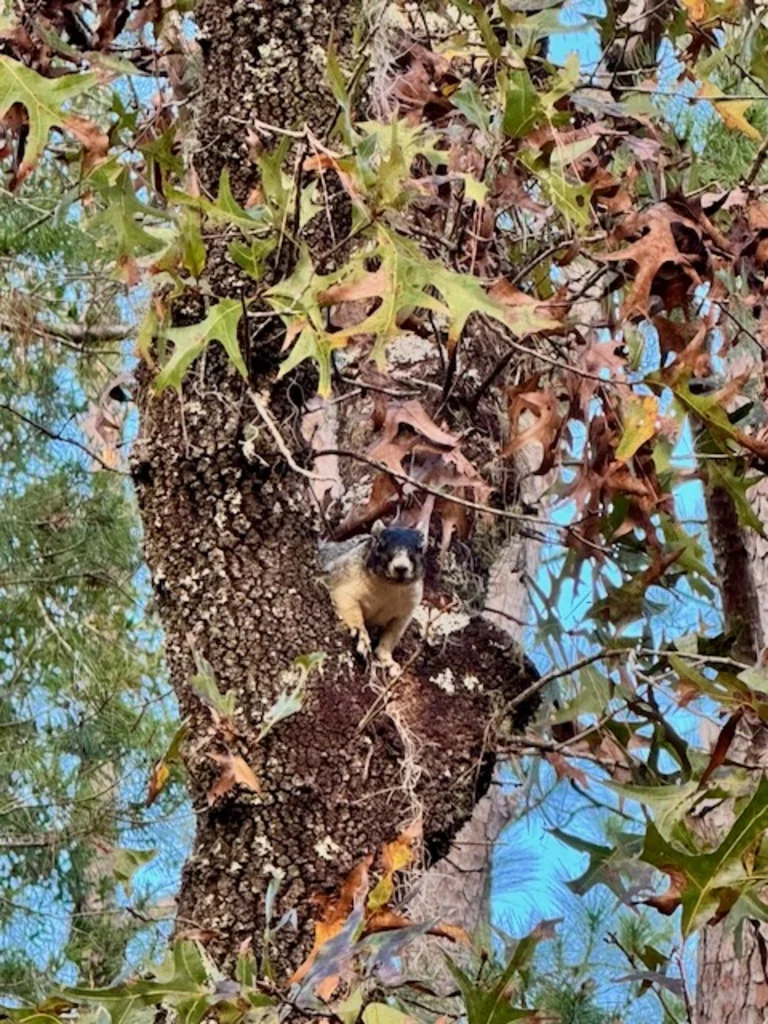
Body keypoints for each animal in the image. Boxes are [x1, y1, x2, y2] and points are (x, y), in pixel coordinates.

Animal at [319, 520, 425, 670]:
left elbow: (391, 636)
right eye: (379, 545)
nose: (401, 568)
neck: (390, 588)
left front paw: (387, 659)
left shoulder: (406, 612)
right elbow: (350, 609)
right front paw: (362, 638)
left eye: (420, 548)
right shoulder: (344, 583)